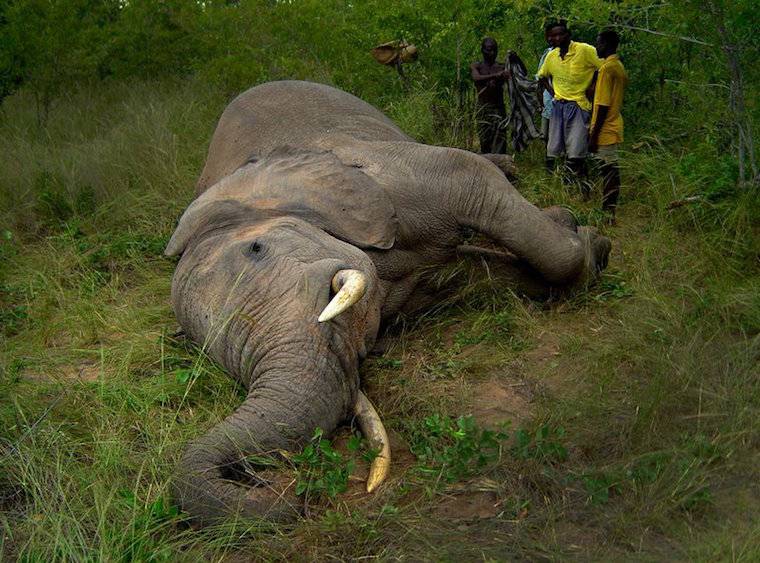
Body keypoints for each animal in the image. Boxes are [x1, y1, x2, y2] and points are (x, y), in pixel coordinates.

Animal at [165, 80, 611, 525]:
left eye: (257, 249)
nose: (282, 490)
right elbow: (470, 273)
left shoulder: (384, 176)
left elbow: (472, 180)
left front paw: (592, 245)